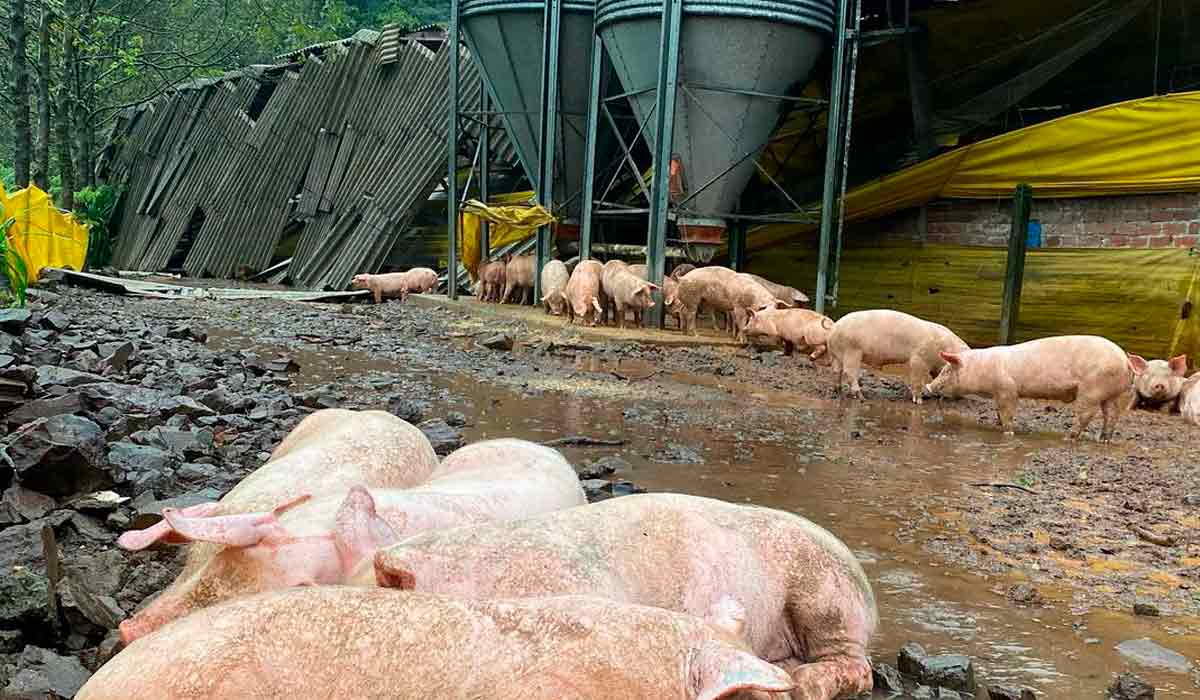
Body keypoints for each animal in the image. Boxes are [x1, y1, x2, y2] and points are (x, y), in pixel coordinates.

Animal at [820, 309, 969, 403]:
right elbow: (917, 379)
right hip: (852, 351)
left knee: (836, 371)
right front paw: (919, 401)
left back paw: (838, 391)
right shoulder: (918, 359)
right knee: (849, 372)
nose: (961, 397)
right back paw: (861, 397)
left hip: (837, 355)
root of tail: (833, 328)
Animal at [921, 336, 1137, 441]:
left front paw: (1007, 432)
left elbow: (1007, 412)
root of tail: (1124, 359)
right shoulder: (999, 392)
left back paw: (1068, 437)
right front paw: (998, 424)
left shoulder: (1007, 389)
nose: (927, 388)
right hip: (1111, 393)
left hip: (1092, 390)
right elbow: (998, 411)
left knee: (1087, 414)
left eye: (947, 370)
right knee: (1112, 414)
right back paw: (1104, 439)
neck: (982, 368)